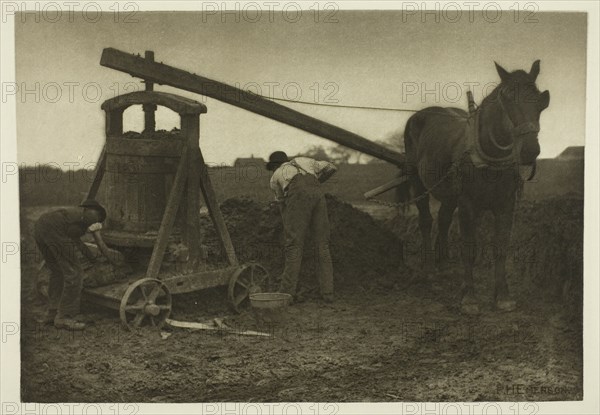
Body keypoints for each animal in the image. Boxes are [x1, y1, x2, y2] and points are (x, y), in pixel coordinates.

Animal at [400, 61, 552, 314]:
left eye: (541, 101)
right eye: (507, 99)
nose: (530, 151)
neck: (490, 157)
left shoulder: (506, 205)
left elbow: (500, 247)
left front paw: (503, 296)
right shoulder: (468, 204)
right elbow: (469, 247)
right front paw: (469, 297)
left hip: (450, 192)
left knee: (443, 219)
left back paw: (444, 265)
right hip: (418, 181)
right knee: (426, 220)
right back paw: (429, 268)